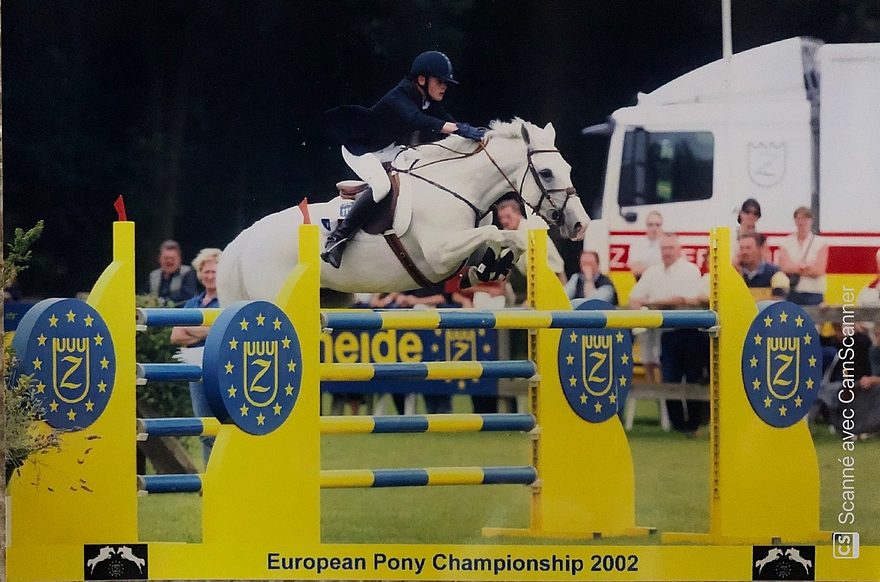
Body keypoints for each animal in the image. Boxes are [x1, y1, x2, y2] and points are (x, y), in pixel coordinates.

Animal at [219, 117, 588, 302]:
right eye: (546, 173)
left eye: (568, 168)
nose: (580, 225)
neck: (456, 186)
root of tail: (244, 240)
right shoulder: (440, 253)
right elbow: (496, 231)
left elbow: (492, 242)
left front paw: (492, 268)